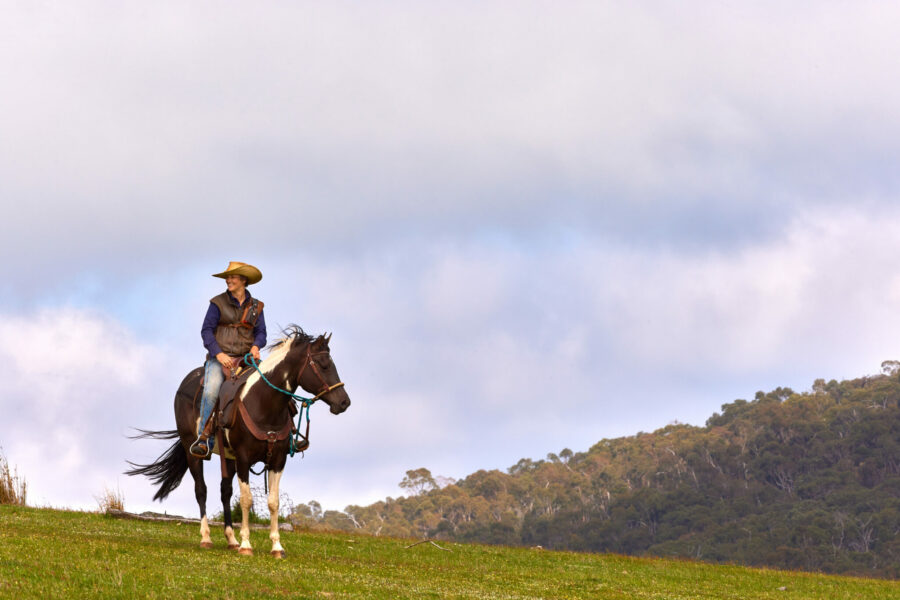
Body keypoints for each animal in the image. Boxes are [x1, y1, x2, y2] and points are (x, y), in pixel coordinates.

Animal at [126, 326, 350, 557]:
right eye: (324, 365)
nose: (344, 402)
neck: (263, 403)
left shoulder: (278, 461)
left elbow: (273, 502)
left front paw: (276, 546)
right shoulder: (244, 458)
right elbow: (246, 499)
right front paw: (246, 544)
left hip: (229, 458)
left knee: (225, 492)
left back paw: (231, 539)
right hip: (193, 452)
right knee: (201, 490)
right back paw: (206, 538)